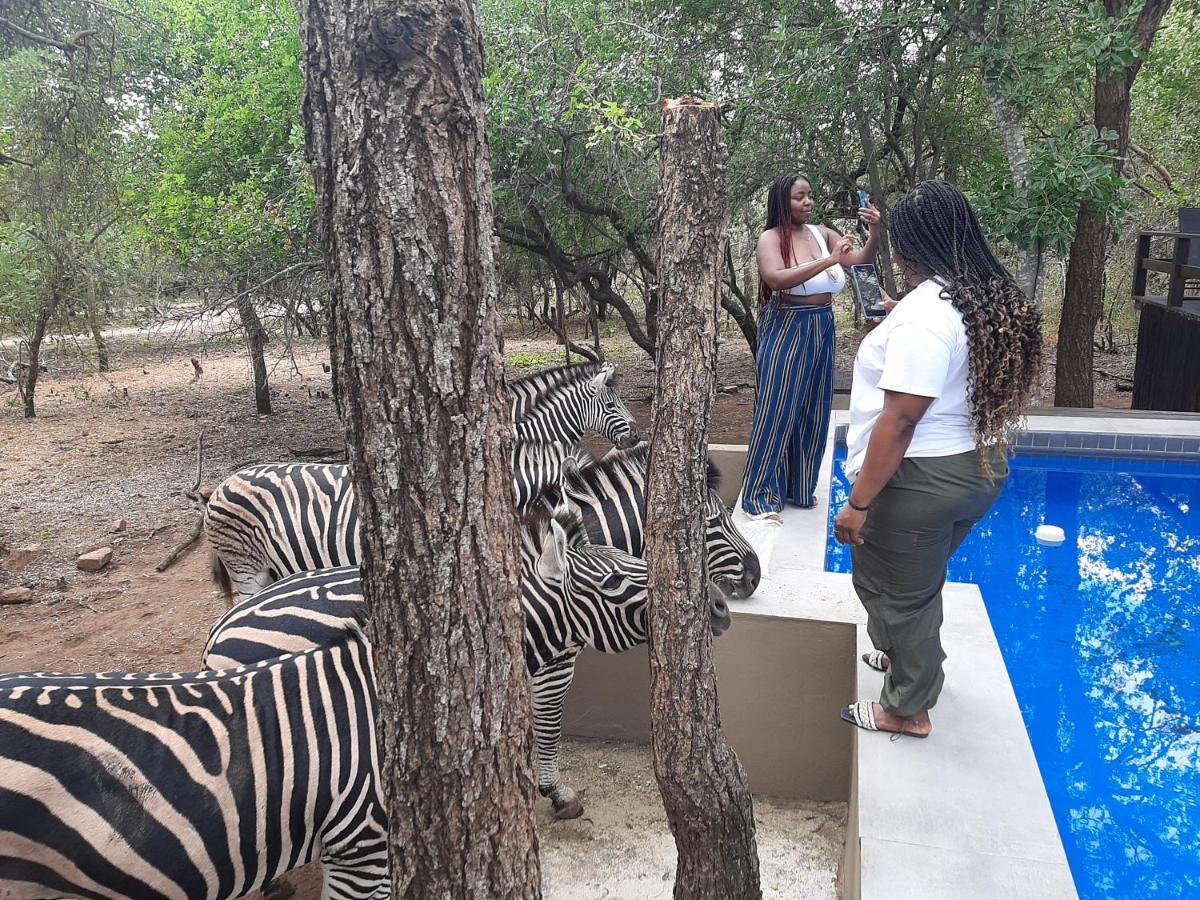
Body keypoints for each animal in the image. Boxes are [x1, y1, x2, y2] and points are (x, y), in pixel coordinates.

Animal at [205, 511, 729, 820]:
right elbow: (550, 724)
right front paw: (554, 792)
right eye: (616, 580)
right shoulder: (555, 667)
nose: (720, 606)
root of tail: (218, 633)